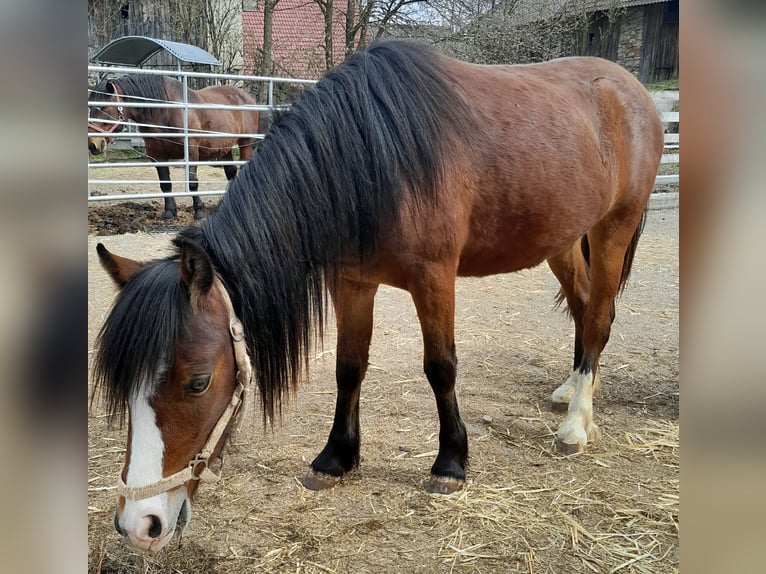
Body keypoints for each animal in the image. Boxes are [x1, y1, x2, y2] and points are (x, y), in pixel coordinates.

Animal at [88, 73, 260, 220]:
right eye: (90, 108)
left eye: (103, 107)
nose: (92, 144)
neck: (165, 110)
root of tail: (247, 97)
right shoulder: (157, 154)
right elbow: (165, 183)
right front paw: (170, 212)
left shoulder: (191, 151)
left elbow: (192, 182)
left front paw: (199, 211)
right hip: (224, 148)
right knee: (231, 173)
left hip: (246, 144)